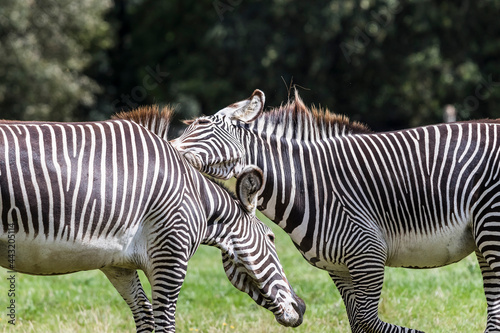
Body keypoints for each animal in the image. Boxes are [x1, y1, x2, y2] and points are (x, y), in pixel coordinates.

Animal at [0, 106, 304, 332]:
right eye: (271, 237)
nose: (301, 308)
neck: (196, 197)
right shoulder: (171, 256)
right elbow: (164, 324)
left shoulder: (117, 265)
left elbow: (144, 315)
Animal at [173, 89, 500, 332]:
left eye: (200, 126)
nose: (168, 148)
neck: (308, 185)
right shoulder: (340, 268)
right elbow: (357, 322)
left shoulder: (368, 253)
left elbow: (368, 322)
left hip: (491, 226)